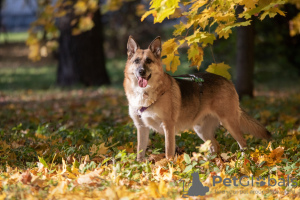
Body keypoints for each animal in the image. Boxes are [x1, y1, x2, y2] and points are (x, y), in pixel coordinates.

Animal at [124, 35, 272, 161]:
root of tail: (228, 81)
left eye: (149, 61)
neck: (144, 93)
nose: (141, 72)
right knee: (215, 146)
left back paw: (243, 161)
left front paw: (168, 167)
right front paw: (140, 168)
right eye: (136, 61)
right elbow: (140, 152)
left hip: (229, 122)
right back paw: (209, 163)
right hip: (201, 129)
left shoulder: (168, 126)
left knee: (243, 143)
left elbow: (168, 152)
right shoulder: (141, 127)